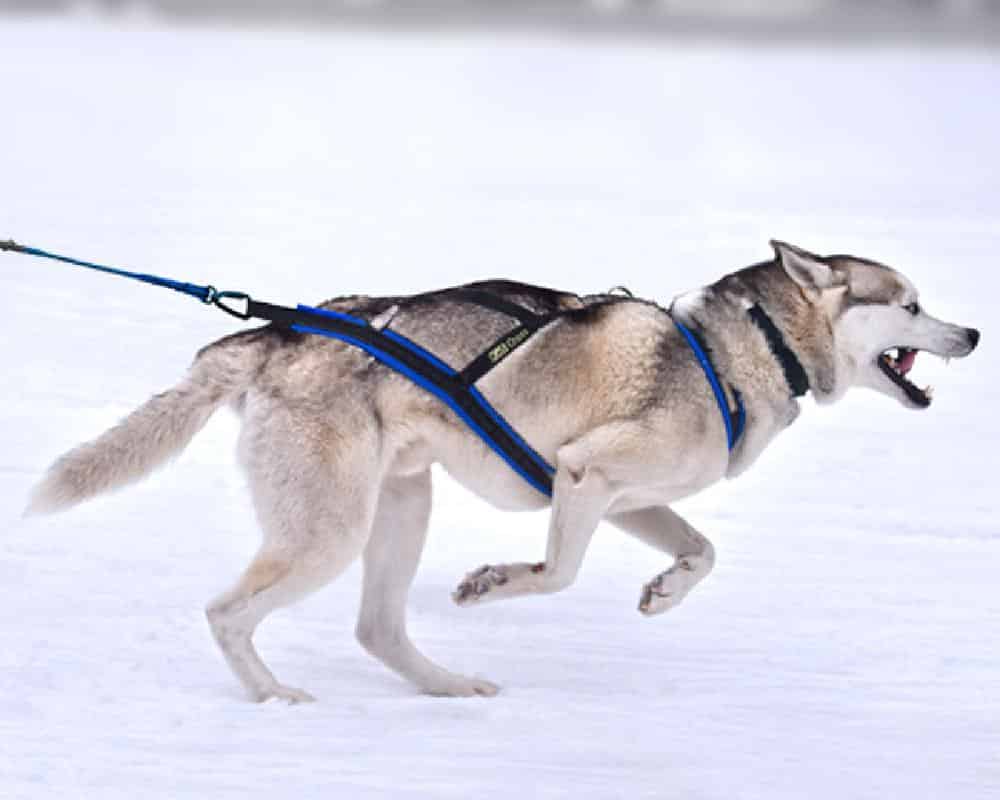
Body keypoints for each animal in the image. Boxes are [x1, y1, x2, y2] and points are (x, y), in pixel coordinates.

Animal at [27, 241, 980, 704]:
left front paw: (664, 591)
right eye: (909, 304)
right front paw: (491, 582)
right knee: (229, 614)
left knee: (376, 629)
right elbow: (556, 574)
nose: (972, 333)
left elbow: (703, 550)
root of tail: (273, 334)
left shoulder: (625, 498)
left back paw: (446, 686)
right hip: (329, 528)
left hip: (400, 505)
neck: (742, 349)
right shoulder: (584, 477)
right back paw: (274, 698)